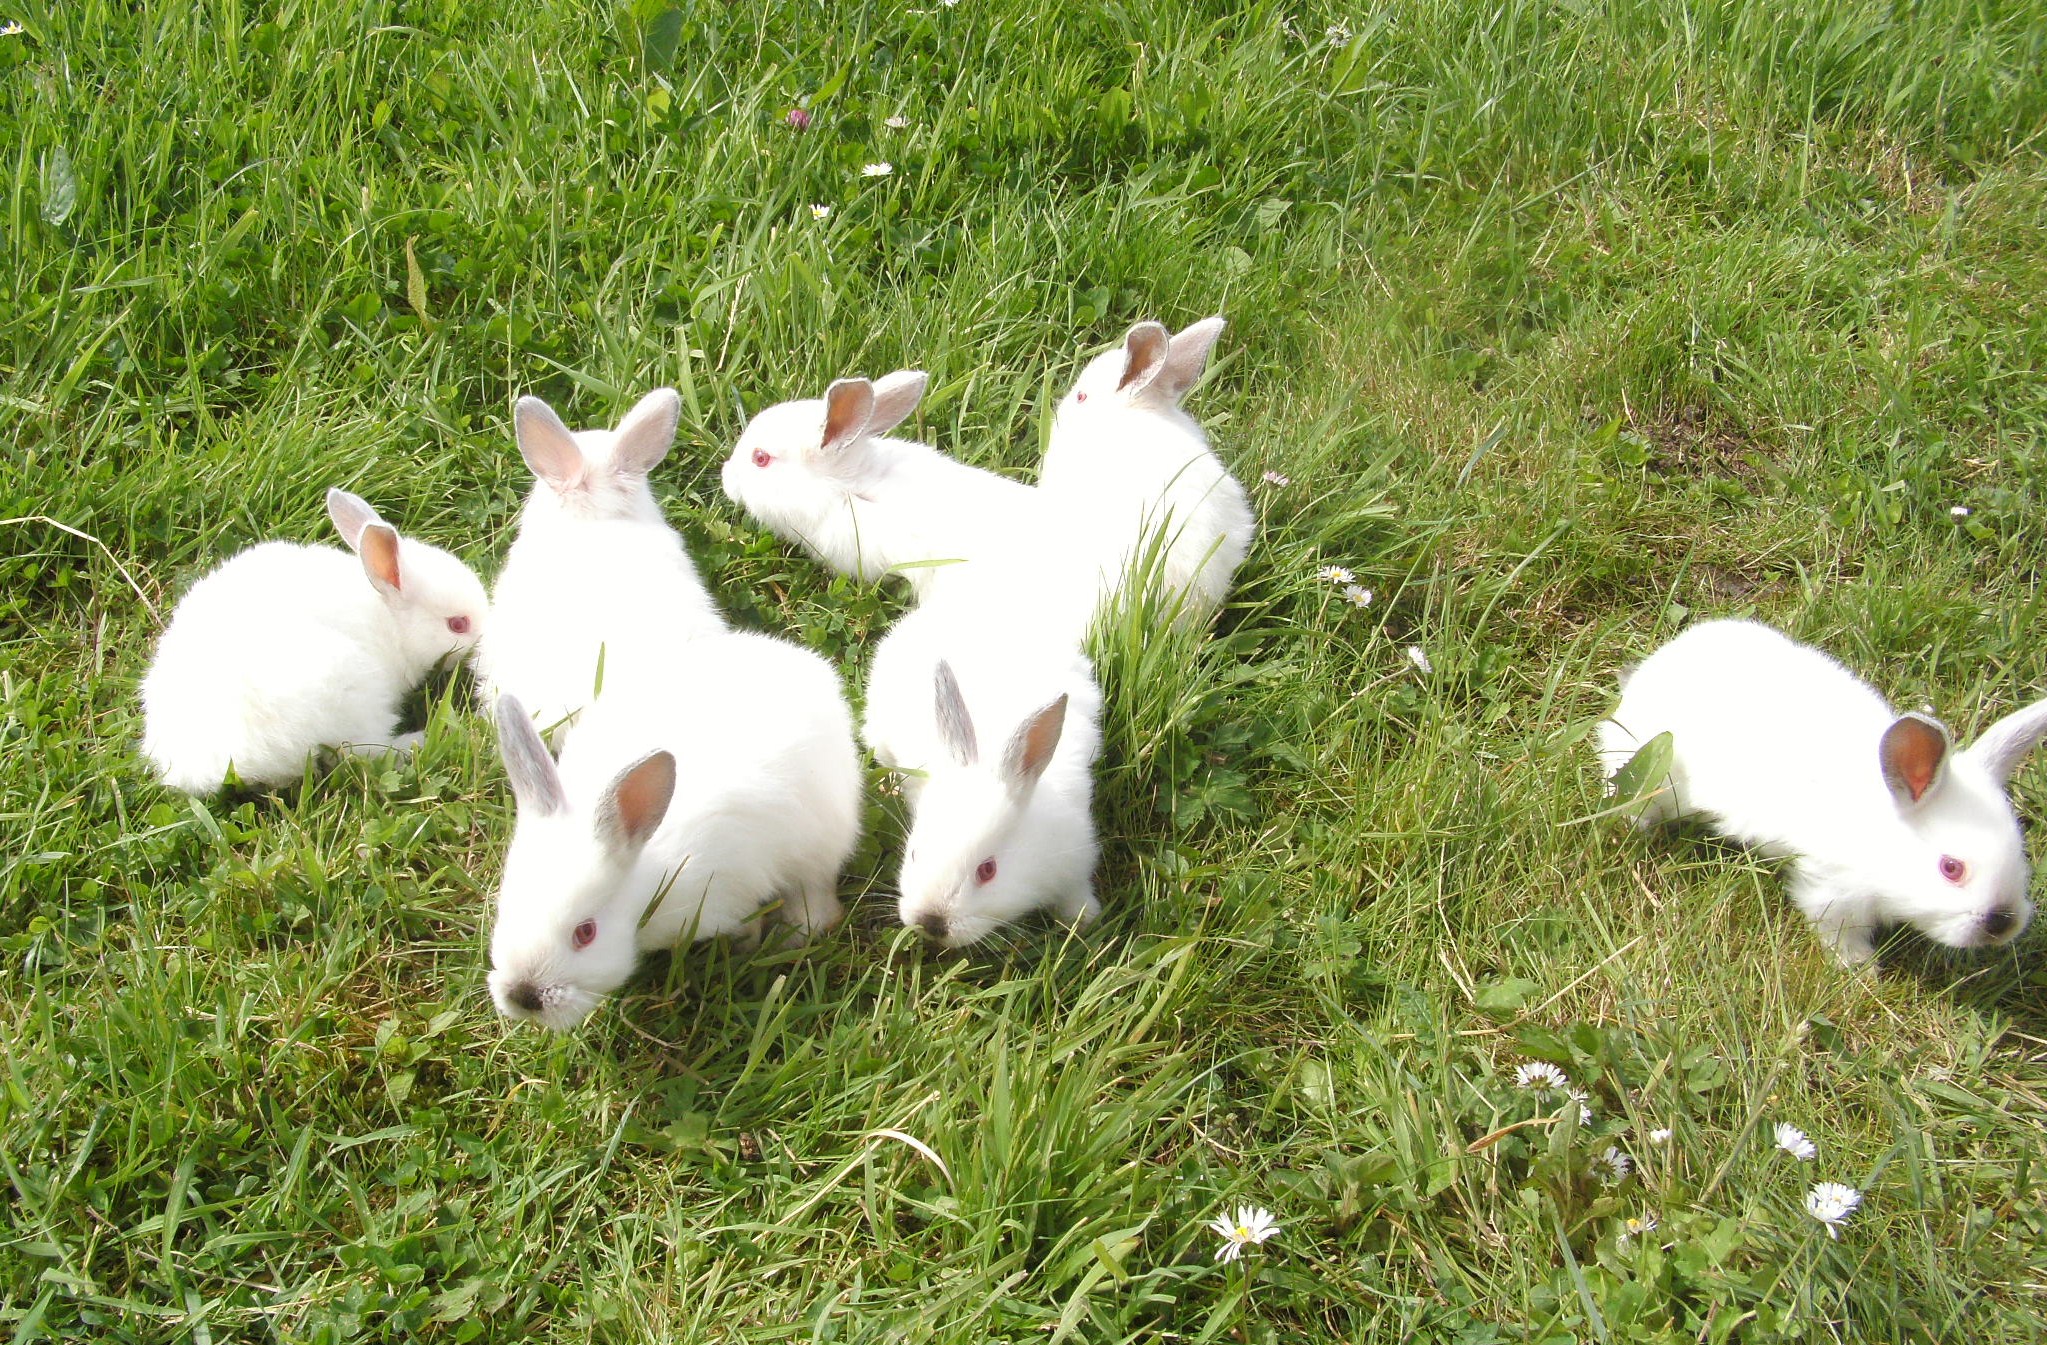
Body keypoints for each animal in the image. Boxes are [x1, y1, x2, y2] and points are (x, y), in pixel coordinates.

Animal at [1598, 617, 2045, 966]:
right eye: (1951, 868)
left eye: (2020, 849)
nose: (2003, 923)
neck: (1881, 834)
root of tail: (1653, 667)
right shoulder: (1833, 890)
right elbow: (1836, 929)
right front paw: (1860, 968)